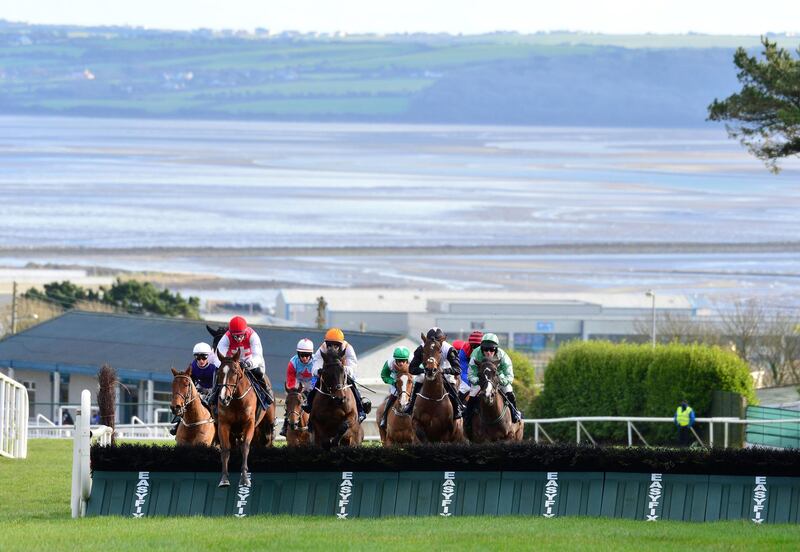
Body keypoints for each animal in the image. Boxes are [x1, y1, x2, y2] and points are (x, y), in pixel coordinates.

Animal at [212, 352, 276, 486]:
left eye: (235, 372)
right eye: (219, 372)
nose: (224, 398)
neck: (236, 400)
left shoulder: (249, 423)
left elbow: (245, 447)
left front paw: (245, 478)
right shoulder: (224, 424)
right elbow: (225, 449)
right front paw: (224, 478)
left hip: (267, 424)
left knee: (267, 440)